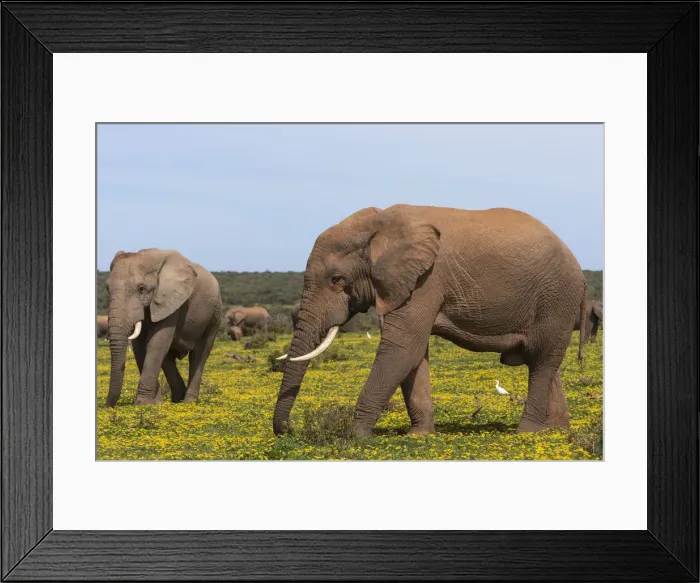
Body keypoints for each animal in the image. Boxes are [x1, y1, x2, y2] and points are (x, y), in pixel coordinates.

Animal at [104, 248, 222, 407]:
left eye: (141, 289)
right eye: (107, 289)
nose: (107, 406)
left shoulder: (171, 300)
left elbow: (156, 343)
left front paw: (143, 405)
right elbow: (141, 347)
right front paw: (154, 405)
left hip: (214, 316)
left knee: (200, 354)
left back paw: (188, 403)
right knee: (168, 358)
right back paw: (176, 401)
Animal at [273, 204, 587, 438]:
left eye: (337, 280)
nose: (287, 431)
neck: (379, 224)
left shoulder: (426, 280)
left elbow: (401, 349)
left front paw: (354, 437)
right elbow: (413, 355)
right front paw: (419, 436)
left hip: (557, 296)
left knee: (542, 360)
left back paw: (526, 433)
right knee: (543, 361)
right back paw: (554, 431)